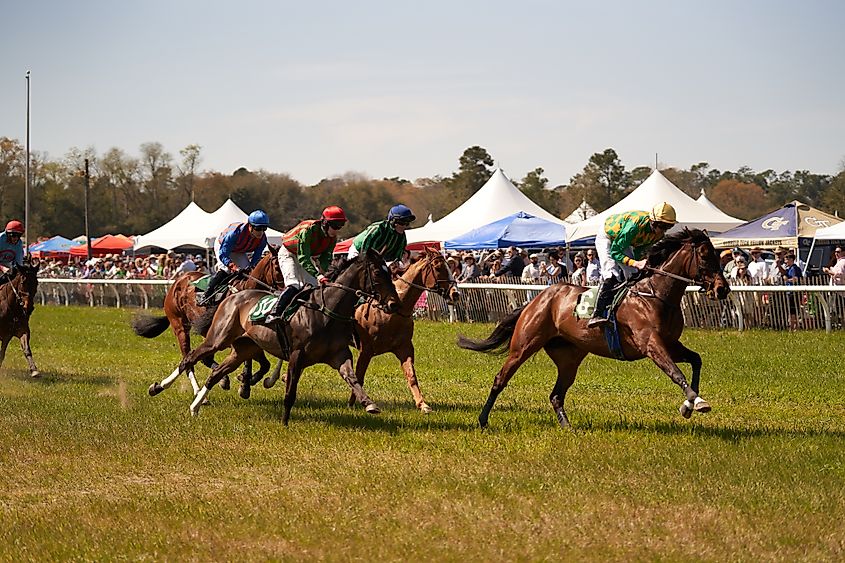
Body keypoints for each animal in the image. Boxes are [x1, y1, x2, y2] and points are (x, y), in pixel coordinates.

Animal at [132, 249, 284, 398]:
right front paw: (245, 382)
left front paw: (246, 382)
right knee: (188, 359)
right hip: (180, 326)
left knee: (203, 358)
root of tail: (179, 280)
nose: (284, 291)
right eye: (278, 267)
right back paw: (197, 391)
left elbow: (264, 364)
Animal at [176, 249, 400, 426]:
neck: (325, 311)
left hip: (243, 349)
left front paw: (369, 404)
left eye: (391, 272)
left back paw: (195, 406)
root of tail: (232, 295)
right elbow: (290, 391)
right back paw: (170, 389)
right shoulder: (296, 355)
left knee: (215, 373)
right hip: (218, 338)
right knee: (189, 358)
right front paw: (284, 422)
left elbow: (352, 378)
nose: (394, 304)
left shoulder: (339, 354)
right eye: (378, 272)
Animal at [344, 251, 458, 414]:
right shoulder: (365, 351)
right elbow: (358, 377)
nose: (455, 294)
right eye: (438, 268)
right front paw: (354, 403)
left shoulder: (404, 348)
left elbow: (411, 376)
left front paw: (423, 404)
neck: (391, 311)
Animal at [458, 229, 728, 432]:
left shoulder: (671, 344)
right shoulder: (650, 344)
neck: (654, 295)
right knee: (500, 380)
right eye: (705, 256)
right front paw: (696, 402)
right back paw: (482, 420)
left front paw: (689, 404)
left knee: (556, 395)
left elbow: (696, 360)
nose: (722, 289)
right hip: (523, 346)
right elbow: (675, 372)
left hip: (569, 357)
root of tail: (538, 298)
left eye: (717, 256)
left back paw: (567, 427)